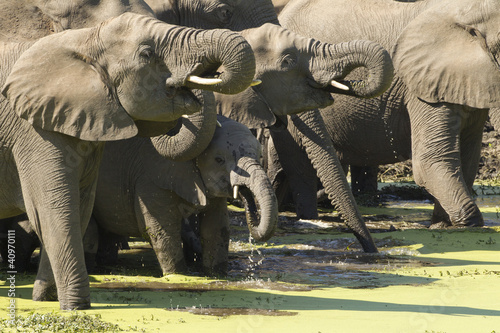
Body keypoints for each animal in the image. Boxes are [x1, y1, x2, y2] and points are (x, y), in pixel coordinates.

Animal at [0, 12, 256, 308]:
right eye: (146, 54)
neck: (83, 39)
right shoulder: (34, 131)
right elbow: (53, 211)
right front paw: (76, 308)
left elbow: (78, 209)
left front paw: (46, 300)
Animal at [89, 115, 278, 274]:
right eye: (219, 160)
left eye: (259, 155)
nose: (246, 199)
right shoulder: (151, 178)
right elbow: (161, 229)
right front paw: (177, 275)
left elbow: (217, 228)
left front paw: (216, 274)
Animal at [278, 0, 500, 227]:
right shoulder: (422, 90)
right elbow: (430, 161)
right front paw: (466, 226)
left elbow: (468, 159)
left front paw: (442, 225)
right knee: (298, 167)